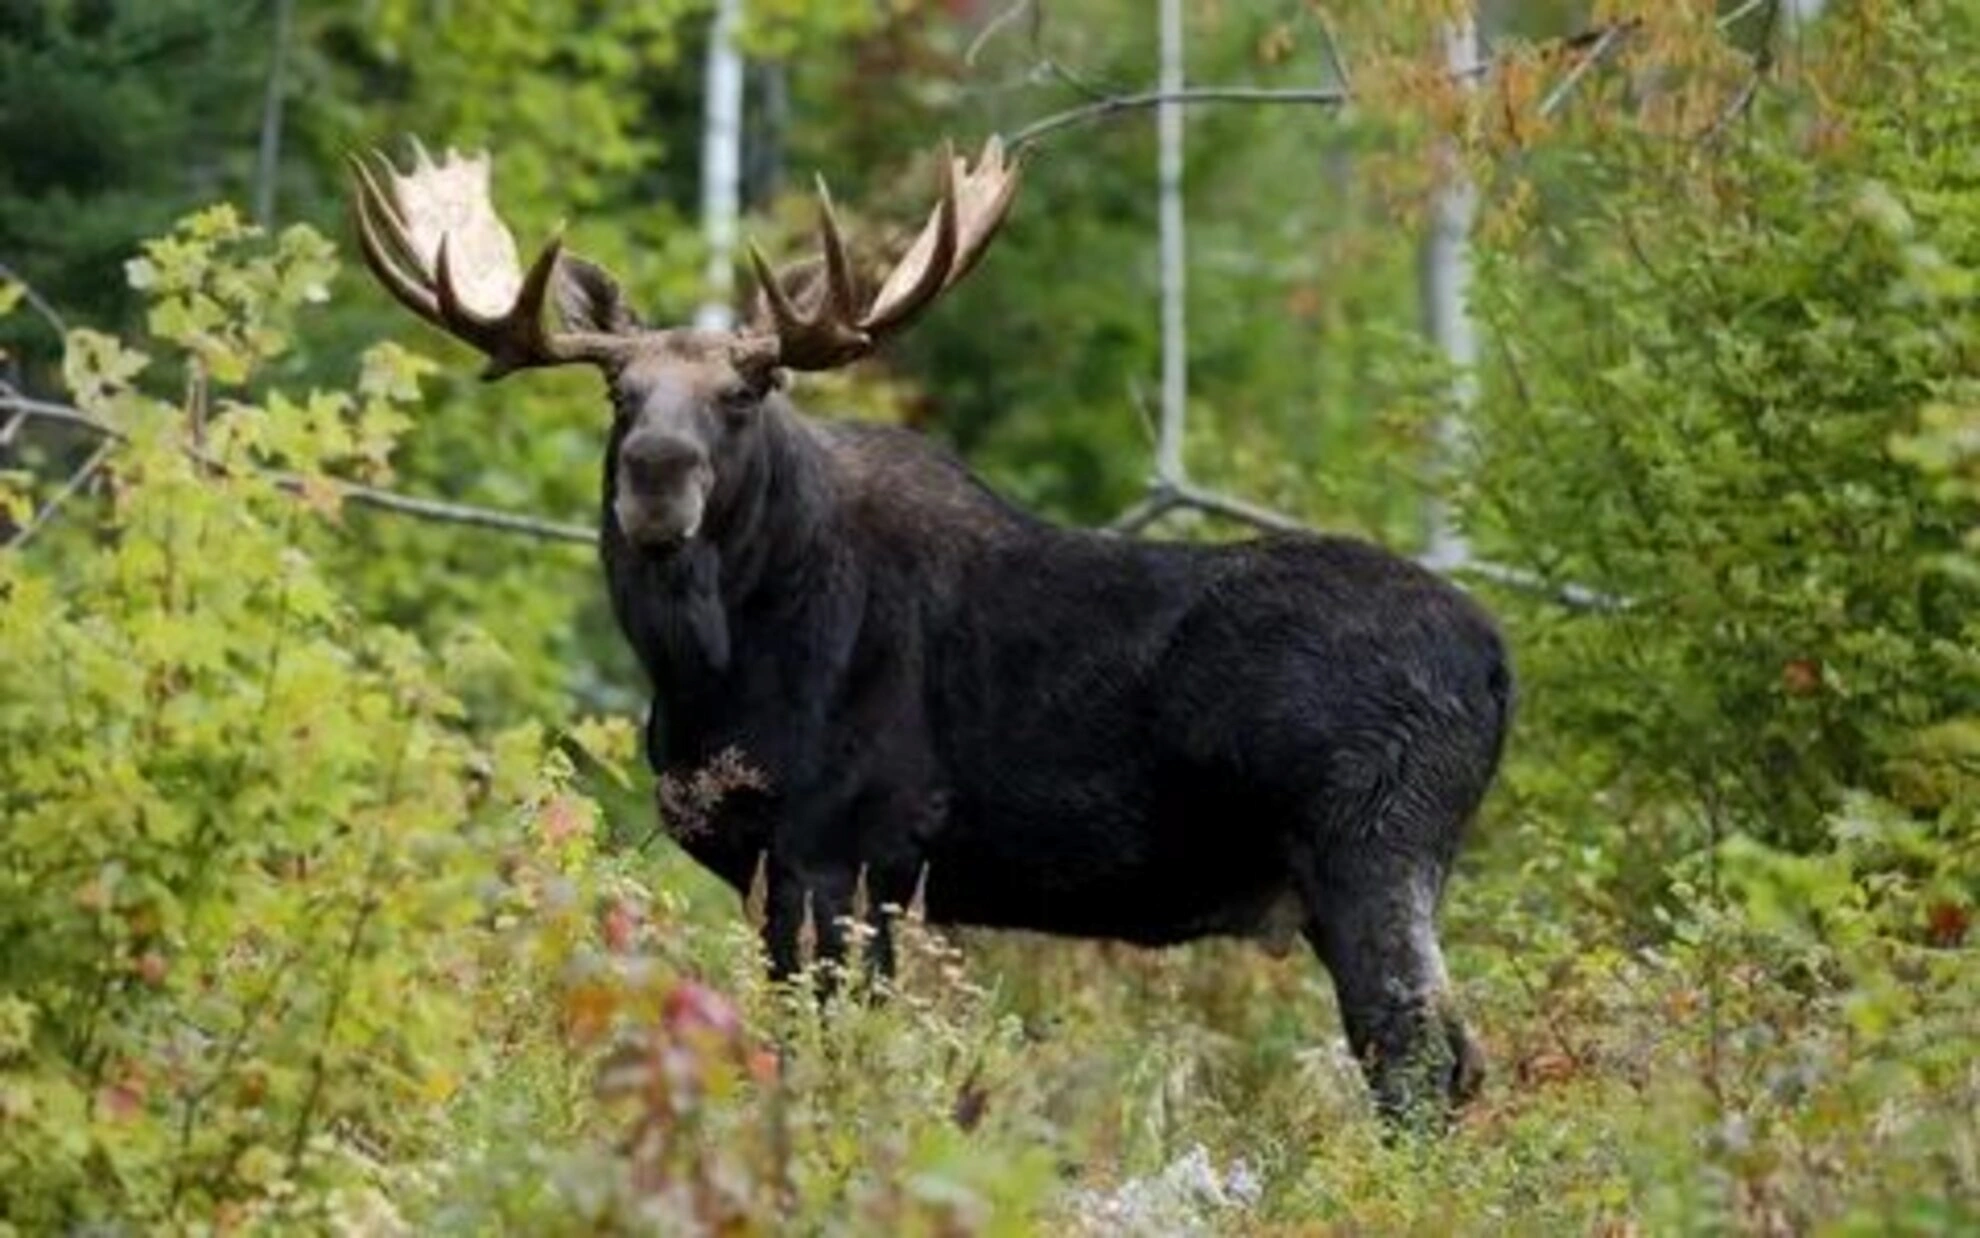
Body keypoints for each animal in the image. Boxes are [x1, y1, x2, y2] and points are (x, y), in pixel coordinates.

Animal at [348, 135, 1510, 1121]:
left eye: (748, 388)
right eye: (618, 390)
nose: (656, 474)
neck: (709, 671)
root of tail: (1500, 667)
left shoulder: (845, 849)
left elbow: (830, 1056)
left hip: (1372, 839)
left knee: (1417, 1059)